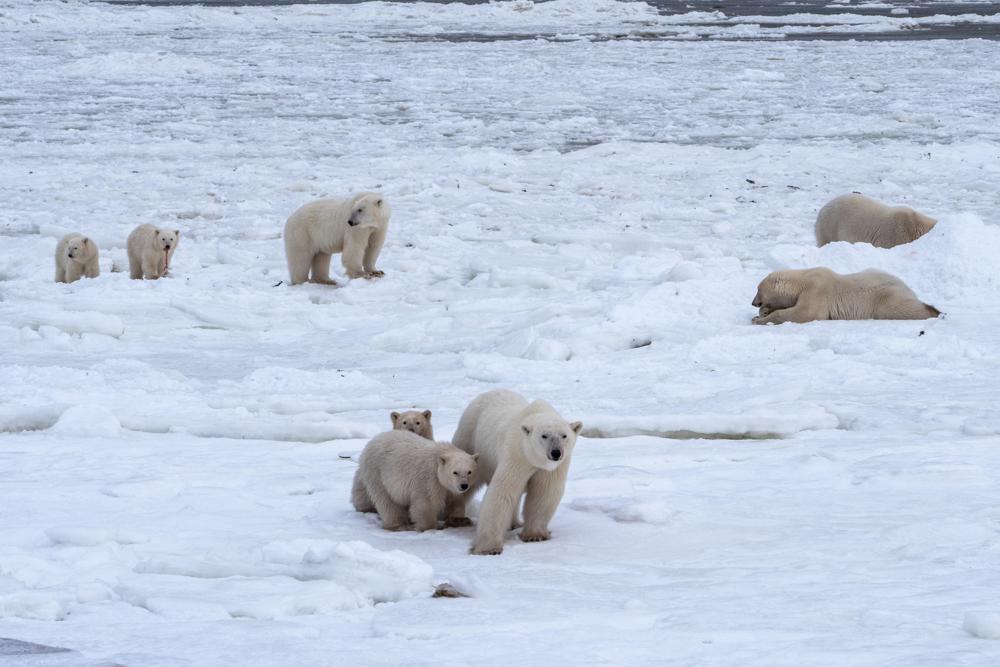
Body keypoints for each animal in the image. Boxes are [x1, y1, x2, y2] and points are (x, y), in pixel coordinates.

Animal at [350, 430, 478, 536]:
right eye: (455, 472)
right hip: (378, 472)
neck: (440, 454)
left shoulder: (449, 488)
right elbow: (426, 504)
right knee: (387, 501)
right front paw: (430, 528)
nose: (464, 485)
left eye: (469, 472)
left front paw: (459, 520)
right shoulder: (429, 479)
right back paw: (400, 525)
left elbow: (454, 502)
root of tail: (371, 442)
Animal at [452, 388, 584, 556]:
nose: (556, 453)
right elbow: (503, 491)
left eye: (564, 435)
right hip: (470, 438)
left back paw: (514, 523)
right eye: (544, 435)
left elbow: (544, 494)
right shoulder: (517, 455)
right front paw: (489, 548)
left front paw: (535, 535)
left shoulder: (552, 468)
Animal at [752, 268, 940, 326]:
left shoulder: (817, 290)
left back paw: (933, 311)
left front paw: (758, 319)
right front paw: (763, 313)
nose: (754, 303)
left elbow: (806, 313)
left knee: (901, 309)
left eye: (758, 289)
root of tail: (907, 288)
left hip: (885, 298)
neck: (802, 281)